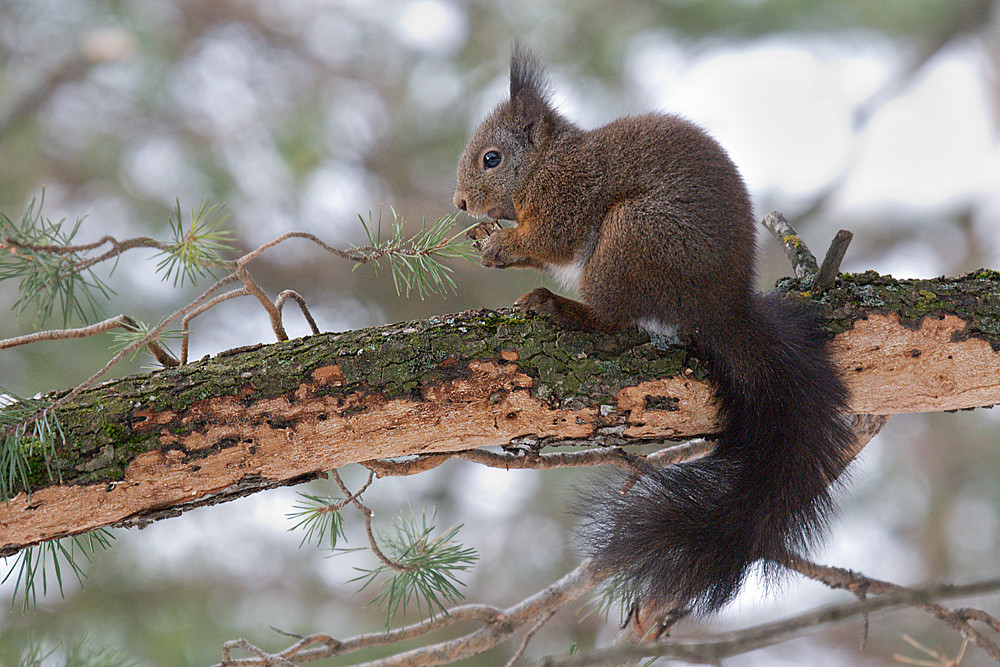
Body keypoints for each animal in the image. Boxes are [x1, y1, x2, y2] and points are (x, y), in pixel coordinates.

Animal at [458, 44, 856, 620]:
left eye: (491, 159)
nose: (460, 204)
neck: (545, 163)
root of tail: (719, 308)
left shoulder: (567, 197)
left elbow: (552, 240)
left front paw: (500, 245)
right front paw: (485, 237)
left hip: (630, 240)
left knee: (614, 319)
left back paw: (558, 306)